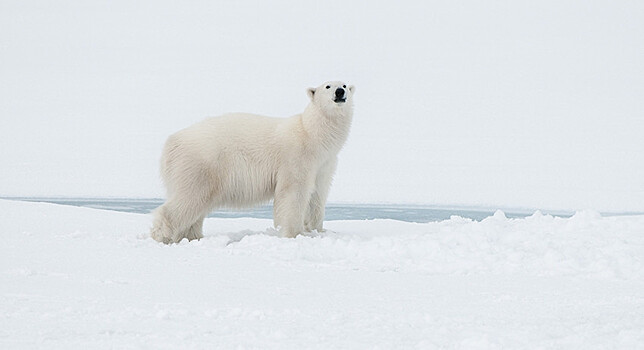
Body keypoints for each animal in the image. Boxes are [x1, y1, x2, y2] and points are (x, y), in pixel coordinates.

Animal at [150, 81, 354, 243]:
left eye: (344, 85)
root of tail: (172, 142)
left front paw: (317, 230)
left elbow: (318, 195)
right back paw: (163, 235)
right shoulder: (296, 157)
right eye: (327, 86)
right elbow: (293, 192)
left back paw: (192, 236)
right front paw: (293, 234)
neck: (312, 134)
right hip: (200, 163)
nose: (339, 92)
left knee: (196, 205)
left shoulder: (324, 163)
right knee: (189, 198)